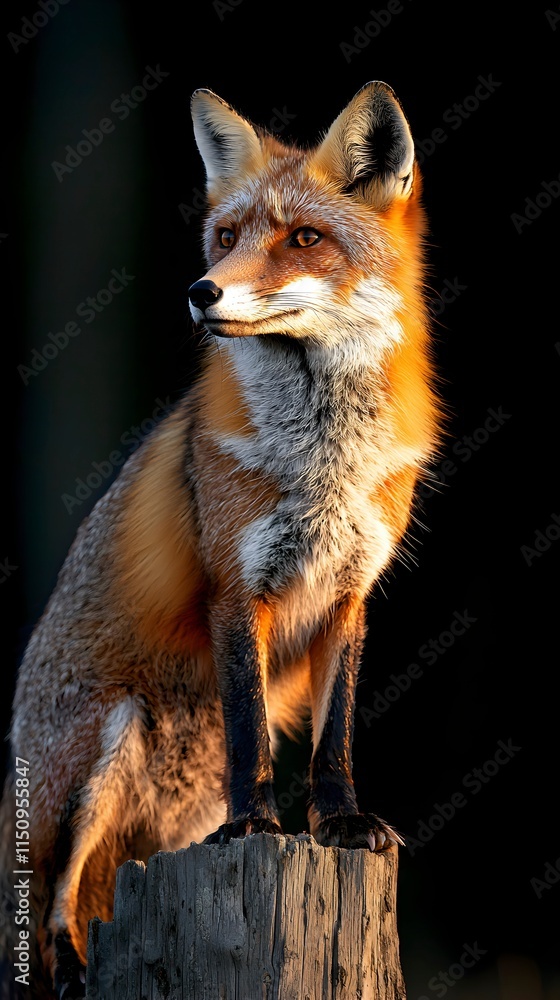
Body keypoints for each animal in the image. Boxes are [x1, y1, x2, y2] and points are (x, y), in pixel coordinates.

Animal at [1, 81, 441, 998]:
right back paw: (69, 962)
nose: (201, 291)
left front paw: (339, 822)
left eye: (304, 238)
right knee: (57, 897)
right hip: (101, 748)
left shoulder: (348, 590)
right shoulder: (238, 586)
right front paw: (253, 828)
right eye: (228, 237)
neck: (322, 459)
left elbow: (334, 737)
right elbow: (249, 734)